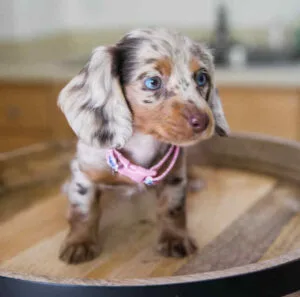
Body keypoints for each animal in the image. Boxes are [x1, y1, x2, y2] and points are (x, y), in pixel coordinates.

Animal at [57, 28, 229, 264]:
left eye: (201, 78)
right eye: (152, 82)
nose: (203, 121)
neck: (142, 141)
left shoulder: (175, 175)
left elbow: (173, 209)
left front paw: (175, 238)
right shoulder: (84, 174)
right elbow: (83, 211)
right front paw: (79, 243)